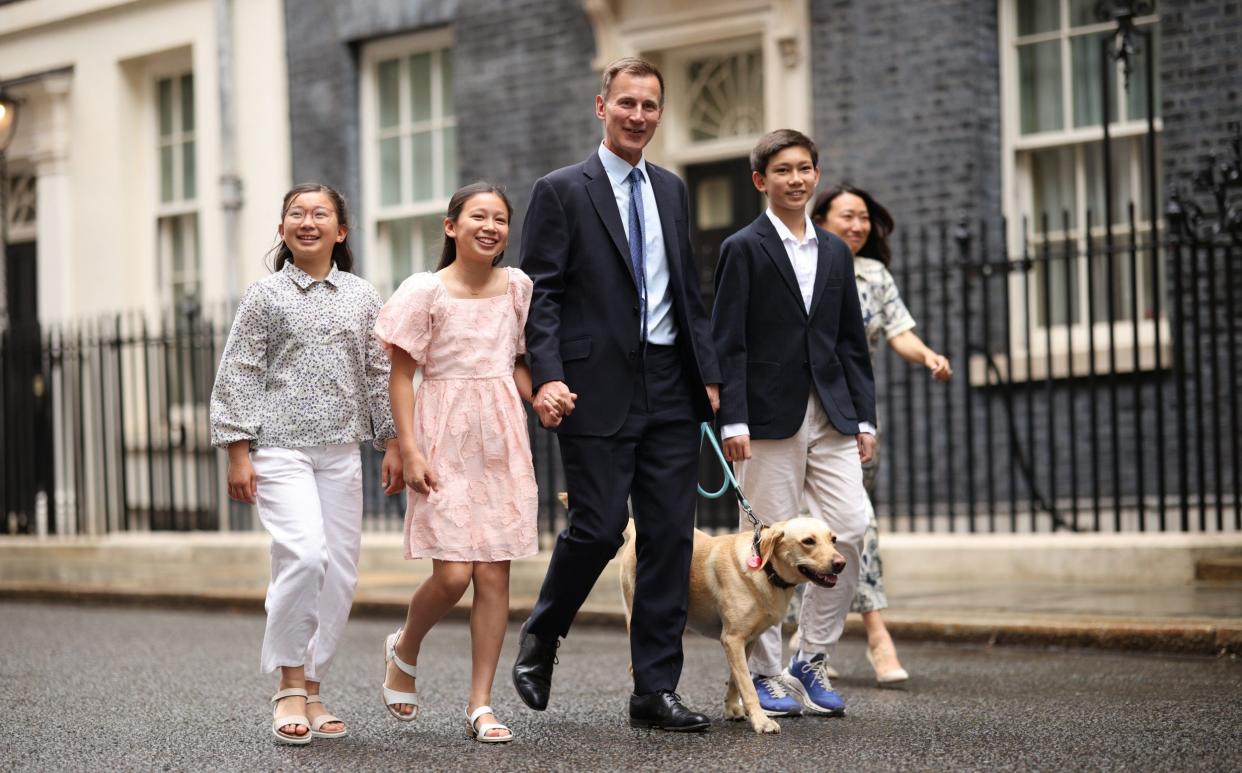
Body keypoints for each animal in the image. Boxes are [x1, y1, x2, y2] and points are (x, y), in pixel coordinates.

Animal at [618, 516, 849, 735]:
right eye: (808, 541)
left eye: (833, 539)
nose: (841, 563)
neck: (766, 571)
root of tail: (635, 529)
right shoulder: (732, 638)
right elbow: (747, 686)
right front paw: (762, 722)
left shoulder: (746, 641)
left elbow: (736, 680)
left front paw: (732, 709)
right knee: (633, 665)